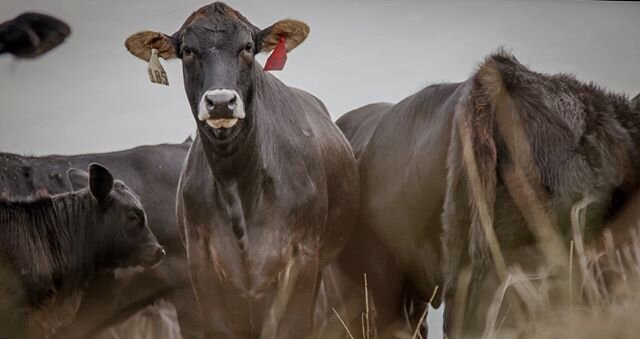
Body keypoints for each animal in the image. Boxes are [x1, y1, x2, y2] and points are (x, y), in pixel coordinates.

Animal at [124, 2, 356, 339]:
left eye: (248, 47)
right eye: (188, 50)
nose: (221, 101)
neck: (239, 184)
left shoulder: (302, 258)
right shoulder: (202, 264)